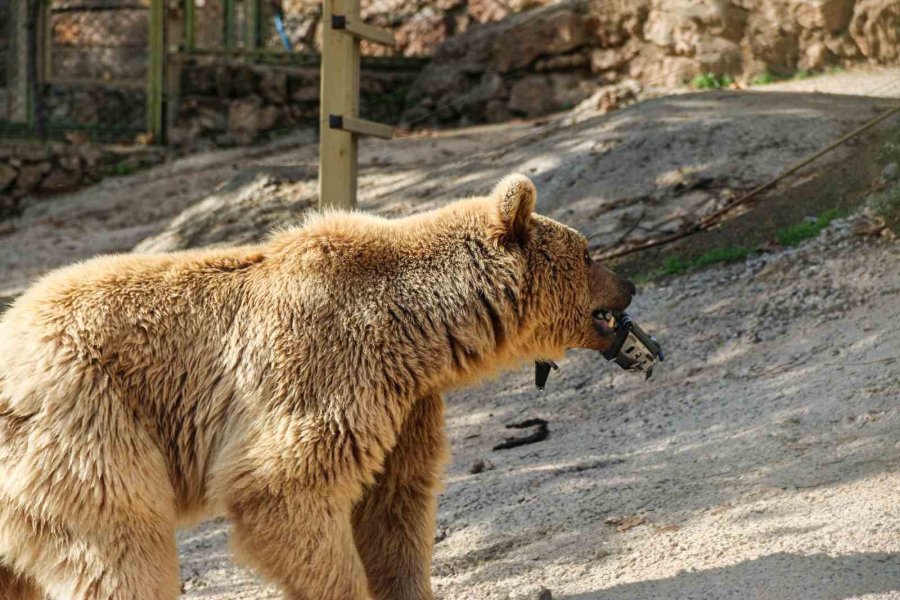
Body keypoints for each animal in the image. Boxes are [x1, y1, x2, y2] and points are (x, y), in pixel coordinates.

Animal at [0, 173, 632, 600]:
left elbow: (394, 507)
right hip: (86, 422)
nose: (627, 284)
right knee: (121, 546)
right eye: (588, 251)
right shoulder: (326, 367)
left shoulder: (405, 402)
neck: (420, 328)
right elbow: (285, 490)